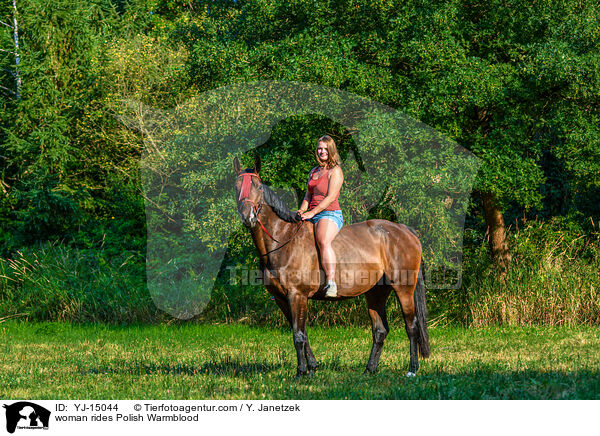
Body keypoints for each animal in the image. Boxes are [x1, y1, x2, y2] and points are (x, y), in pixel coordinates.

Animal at [232, 158, 428, 378]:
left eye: (258, 186)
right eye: (236, 186)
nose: (247, 217)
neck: (283, 239)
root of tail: (404, 230)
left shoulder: (297, 295)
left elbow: (298, 335)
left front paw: (301, 372)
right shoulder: (282, 298)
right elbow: (301, 333)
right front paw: (312, 367)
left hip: (404, 289)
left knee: (411, 327)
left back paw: (412, 369)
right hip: (376, 292)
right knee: (380, 331)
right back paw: (369, 369)